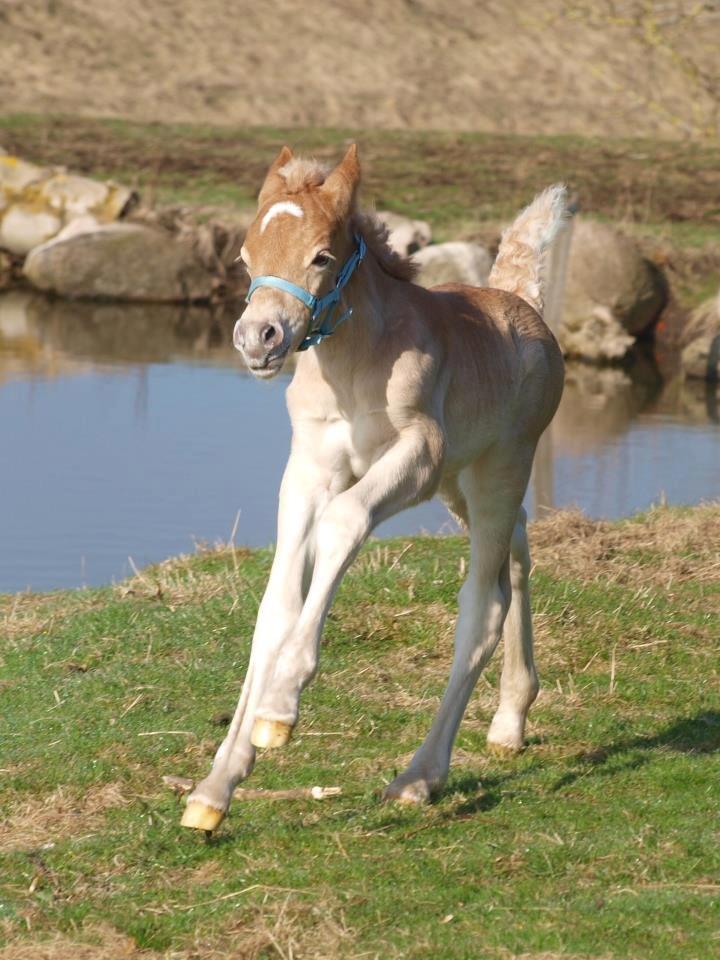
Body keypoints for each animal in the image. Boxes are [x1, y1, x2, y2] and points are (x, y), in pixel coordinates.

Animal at [183, 144, 564, 832]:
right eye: (246, 259)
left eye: (321, 256)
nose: (258, 339)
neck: (354, 364)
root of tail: (522, 304)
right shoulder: (308, 467)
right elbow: (276, 608)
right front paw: (215, 789)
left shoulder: (416, 454)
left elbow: (343, 523)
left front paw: (279, 710)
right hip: (463, 483)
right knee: (518, 552)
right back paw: (510, 720)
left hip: (497, 469)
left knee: (483, 605)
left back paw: (418, 779)